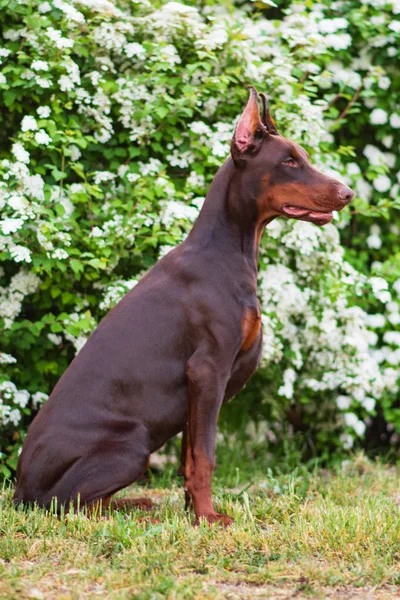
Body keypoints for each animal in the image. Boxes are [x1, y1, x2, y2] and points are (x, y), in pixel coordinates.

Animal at [14, 86, 354, 524]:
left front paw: (194, 510)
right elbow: (205, 454)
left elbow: (189, 455)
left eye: (304, 157)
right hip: (131, 449)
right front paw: (209, 518)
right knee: (68, 506)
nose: (347, 193)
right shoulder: (208, 369)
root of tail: (19, 489)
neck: (227, 251)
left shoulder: (196, 390)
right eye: (289, 161)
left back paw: (138, 505)